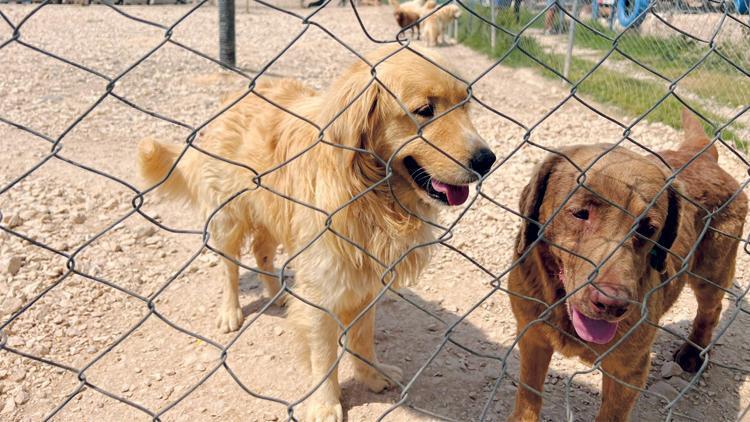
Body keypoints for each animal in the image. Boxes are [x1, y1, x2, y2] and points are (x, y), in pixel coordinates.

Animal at [138, 44, 496, 420]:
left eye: (466, 104)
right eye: (425, 110)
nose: (487, 159)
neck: (369, 192)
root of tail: (233, 97)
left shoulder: (367, 280)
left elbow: (363, 336)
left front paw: (372, 374)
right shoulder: (322, 288)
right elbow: (324, 356)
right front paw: (325, 404)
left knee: (262, 252)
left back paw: (278, 294)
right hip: (228, 219)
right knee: (229, 267)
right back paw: (230, 311)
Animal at [508, 109, 748, 422]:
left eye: (648, 228)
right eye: (580, 213)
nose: (612, 304)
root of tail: (701, 156)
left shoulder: (628, 370)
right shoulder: (532, 338)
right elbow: (528, 398)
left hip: (712, 269)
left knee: (711, 308)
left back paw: (693, 352)